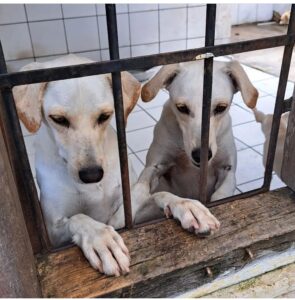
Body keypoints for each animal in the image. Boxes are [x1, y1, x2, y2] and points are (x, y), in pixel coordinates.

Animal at [13, 54, 221, 276]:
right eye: (59, 119)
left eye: (104, 116)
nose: (92, 175)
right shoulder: (52, 235)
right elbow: (78, 217)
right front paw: (101, 238)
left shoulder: (126, 215)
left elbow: (157, 194)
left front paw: (187, 205)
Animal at [139, 59, 260, 204]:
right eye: (181, 108)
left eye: (221, 107)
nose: (200, 155)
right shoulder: (155, 165)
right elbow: (140, 187)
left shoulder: (227, 171)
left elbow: (221, 194)